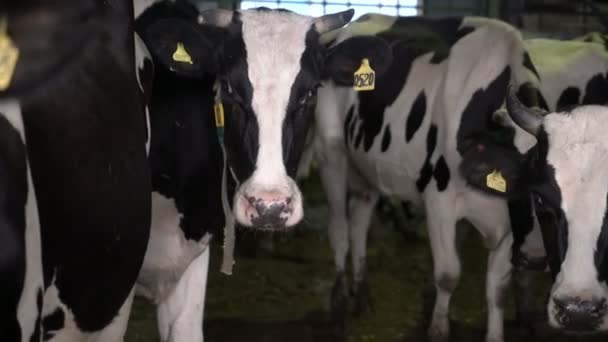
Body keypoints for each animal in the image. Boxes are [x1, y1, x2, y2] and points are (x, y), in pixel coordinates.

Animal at [312, 13, 544, 342]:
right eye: (518, 177)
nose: (536, 258)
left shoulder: (511, 228)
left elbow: (497, 289)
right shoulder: (439, 200)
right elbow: (448, 273)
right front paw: (438, 328)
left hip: (366, 165)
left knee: (359, 219)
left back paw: (363, 295)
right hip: (330, 151)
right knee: (340, 228)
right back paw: (340, 306)